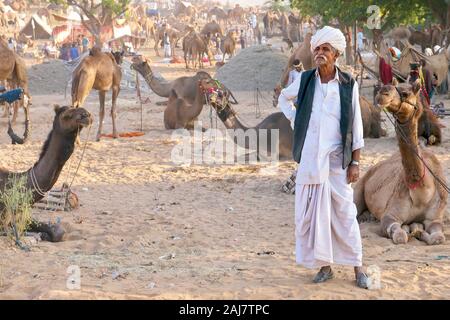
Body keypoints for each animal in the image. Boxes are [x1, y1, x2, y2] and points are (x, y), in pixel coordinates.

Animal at [356, 80, 446, 245]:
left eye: (406, 93)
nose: (383, 92)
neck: (422, 192)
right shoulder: (390, 215)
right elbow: (399, 236)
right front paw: (411, 232)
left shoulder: (435, 218)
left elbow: (438, 237)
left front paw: (419, 232)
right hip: (360, 185)